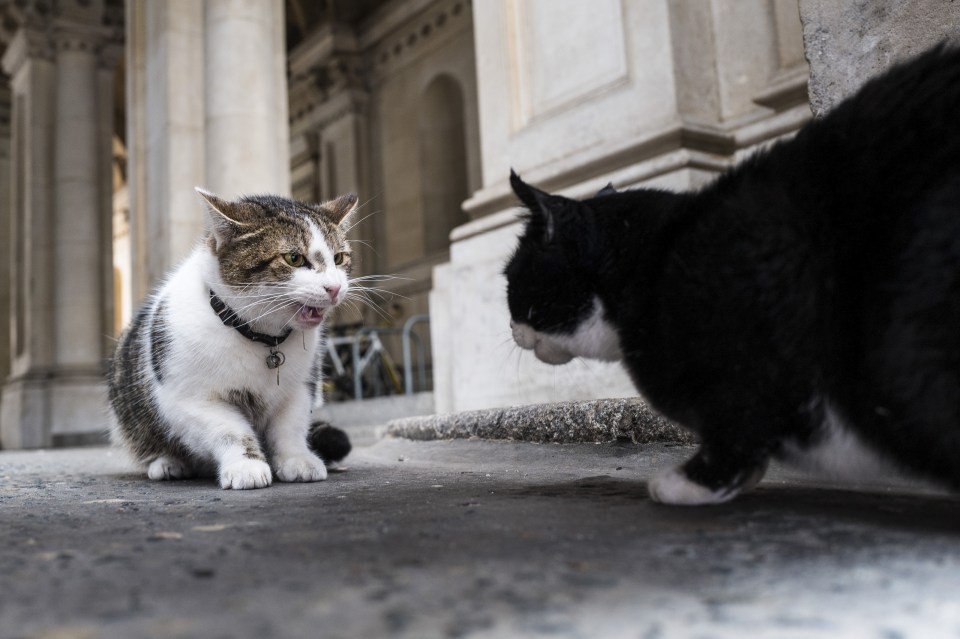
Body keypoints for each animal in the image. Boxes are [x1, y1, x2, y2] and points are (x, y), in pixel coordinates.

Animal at [109, 190, 354, 490]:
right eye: (294, 258)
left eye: (339, 258)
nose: (334, 288)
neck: (262, 338)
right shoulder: (191, 398)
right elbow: (230, 431)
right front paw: (246, 466)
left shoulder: (300, 388)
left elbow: (290, 427)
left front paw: (297, 459)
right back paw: (168, 463)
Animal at [502, 43, 960, 504]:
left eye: (509, 280)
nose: (509, 327)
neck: (655, 262)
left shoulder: (746, 365)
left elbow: (736, 429)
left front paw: (690, 483)